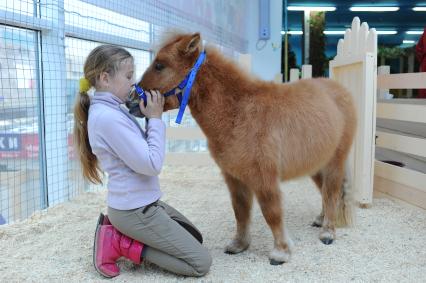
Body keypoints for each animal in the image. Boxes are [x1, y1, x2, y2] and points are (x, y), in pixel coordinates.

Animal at [128, 33, 358, 266]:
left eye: (159, 65)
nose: (131, 101)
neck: (239, 112)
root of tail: (340, 91)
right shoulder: (234, 177)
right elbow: (240, 210)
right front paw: (239, 245)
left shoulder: (264, 179)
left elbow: (272, 212)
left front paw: (280, 252)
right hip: (316, 164)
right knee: (324, 191)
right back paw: (321, 219)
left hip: (335, 162)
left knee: (332, 193)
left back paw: (328, 232)